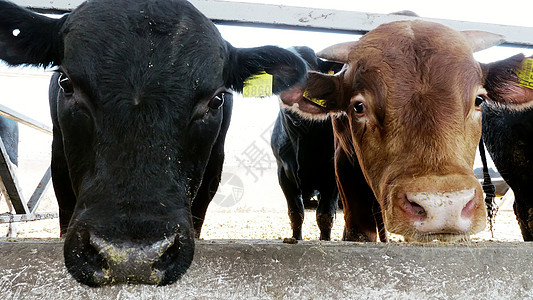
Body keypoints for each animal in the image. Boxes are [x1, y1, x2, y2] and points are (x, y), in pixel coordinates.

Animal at [272, 46, 342, 239]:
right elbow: (296, 214)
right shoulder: (283, 173)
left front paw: (325, 240)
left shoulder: (332, 176)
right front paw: (296, 239)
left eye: (308, 61)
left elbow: (325, 216)